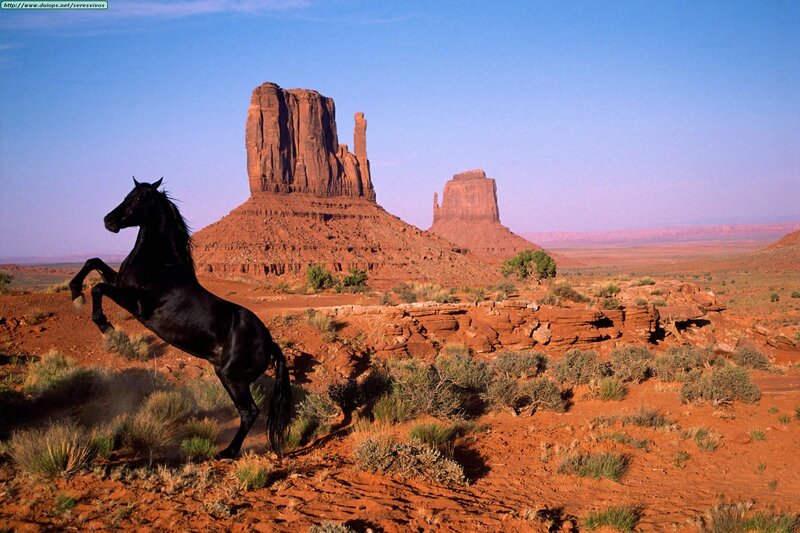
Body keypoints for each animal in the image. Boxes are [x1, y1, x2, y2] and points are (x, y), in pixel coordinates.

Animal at [69, 178, 291, 458]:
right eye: (128, 193)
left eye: (139, 198)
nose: (109, 220)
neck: (160, 265)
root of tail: (270, 343)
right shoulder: (120, 283)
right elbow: (93, 262)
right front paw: (75, 291)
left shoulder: (137, 305)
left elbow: (98, 288)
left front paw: (103, 324)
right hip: (225, 374)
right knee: (246, 412)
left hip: (234, 377)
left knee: (249, 412)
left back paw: (227, 452)